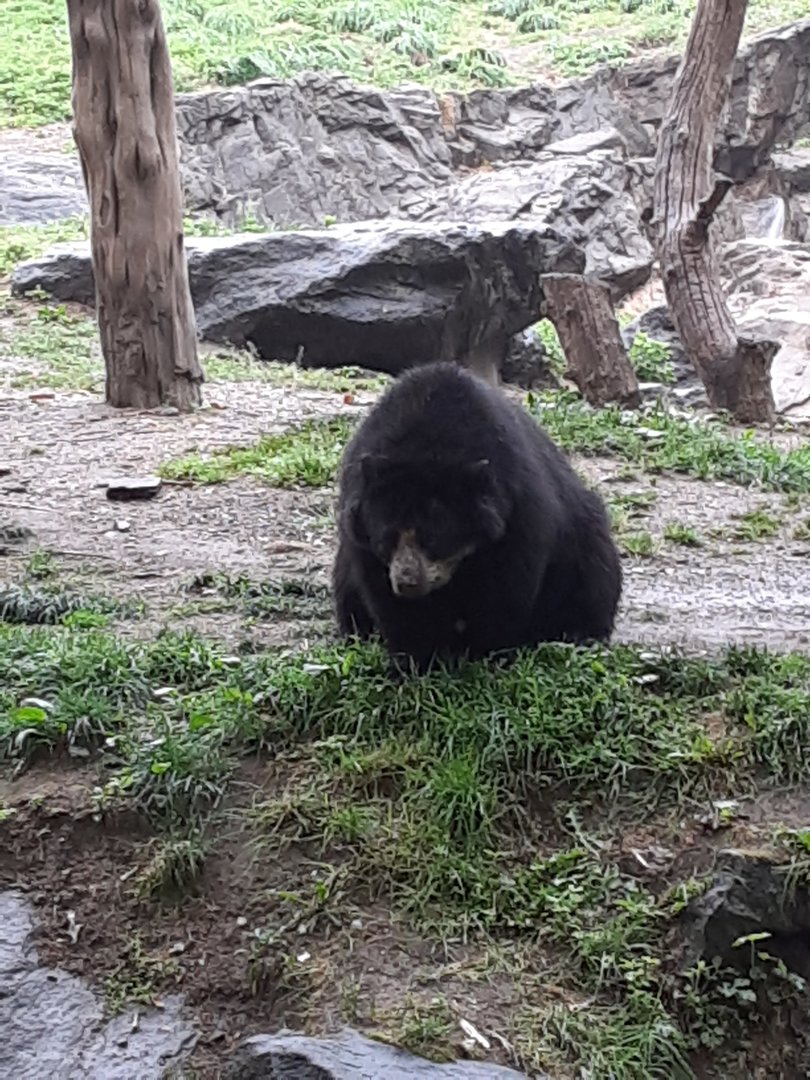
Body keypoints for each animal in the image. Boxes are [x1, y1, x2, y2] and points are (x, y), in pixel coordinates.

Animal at [332, 362, 622, 672]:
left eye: (434, 539)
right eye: (386, 539)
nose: (407, 582)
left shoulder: (517, 510)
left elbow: (505, 589)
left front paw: (485, 654)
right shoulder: (360, 529)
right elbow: (385, 599)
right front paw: (412, 660)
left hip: (585, 535)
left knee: (594, 575)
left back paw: (580, 635)